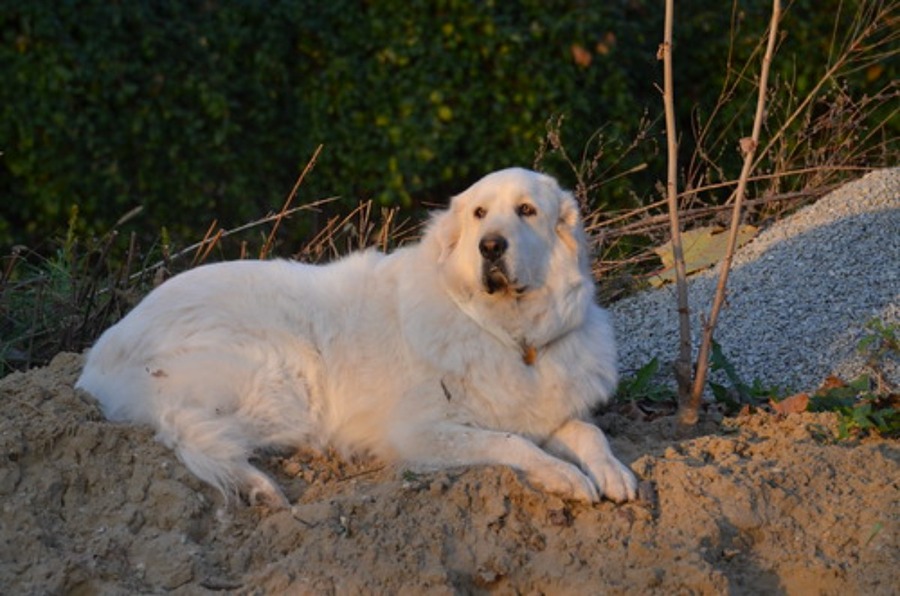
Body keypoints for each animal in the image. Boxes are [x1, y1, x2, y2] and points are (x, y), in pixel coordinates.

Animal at [79, 168, 640, 508]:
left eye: (526, 211)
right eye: (480, 214)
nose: (490, 246)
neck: (506, 330)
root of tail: (99, 356)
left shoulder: (544, 411)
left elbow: (587, 432)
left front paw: (612, 472)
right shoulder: (420, 432)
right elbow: (512, 443)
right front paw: (564, 476)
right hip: (284, 371)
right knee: (188, 428)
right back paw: (263, 482)